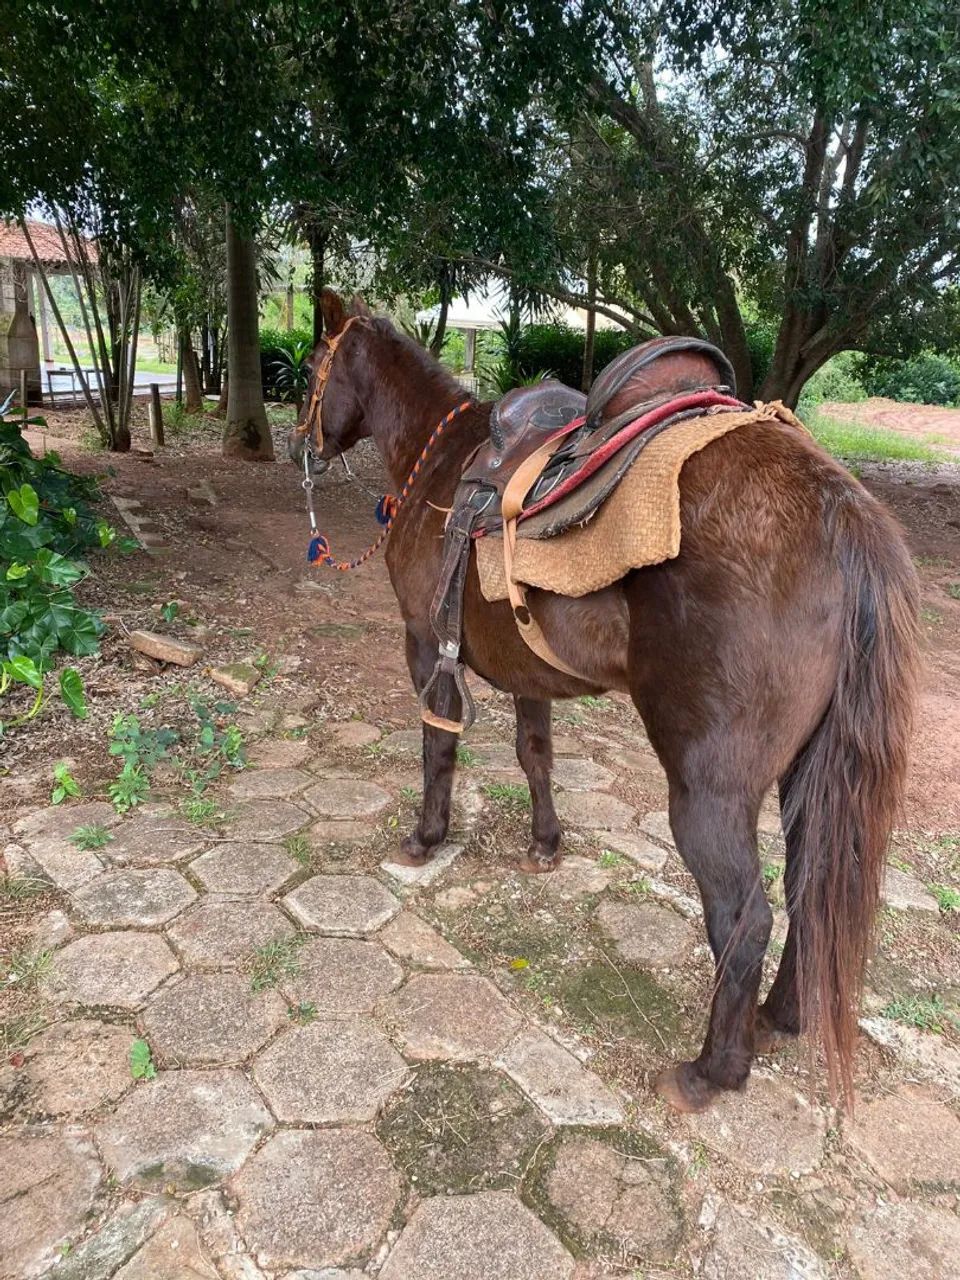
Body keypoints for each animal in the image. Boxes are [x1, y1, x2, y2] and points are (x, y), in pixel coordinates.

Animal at [288, 289, 919, 1114]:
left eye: (311, 368)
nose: (300, 448)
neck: (440, 458)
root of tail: (841, 509)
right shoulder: (528, 675)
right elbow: (535, 755)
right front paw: (544, 844)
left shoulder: (428, 645)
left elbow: (439, 745)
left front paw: (426, 837)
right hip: (809, 775)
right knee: (811, 890)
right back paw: (781, 1016)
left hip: (708, 791)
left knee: (745, 919)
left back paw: (714, 1070)